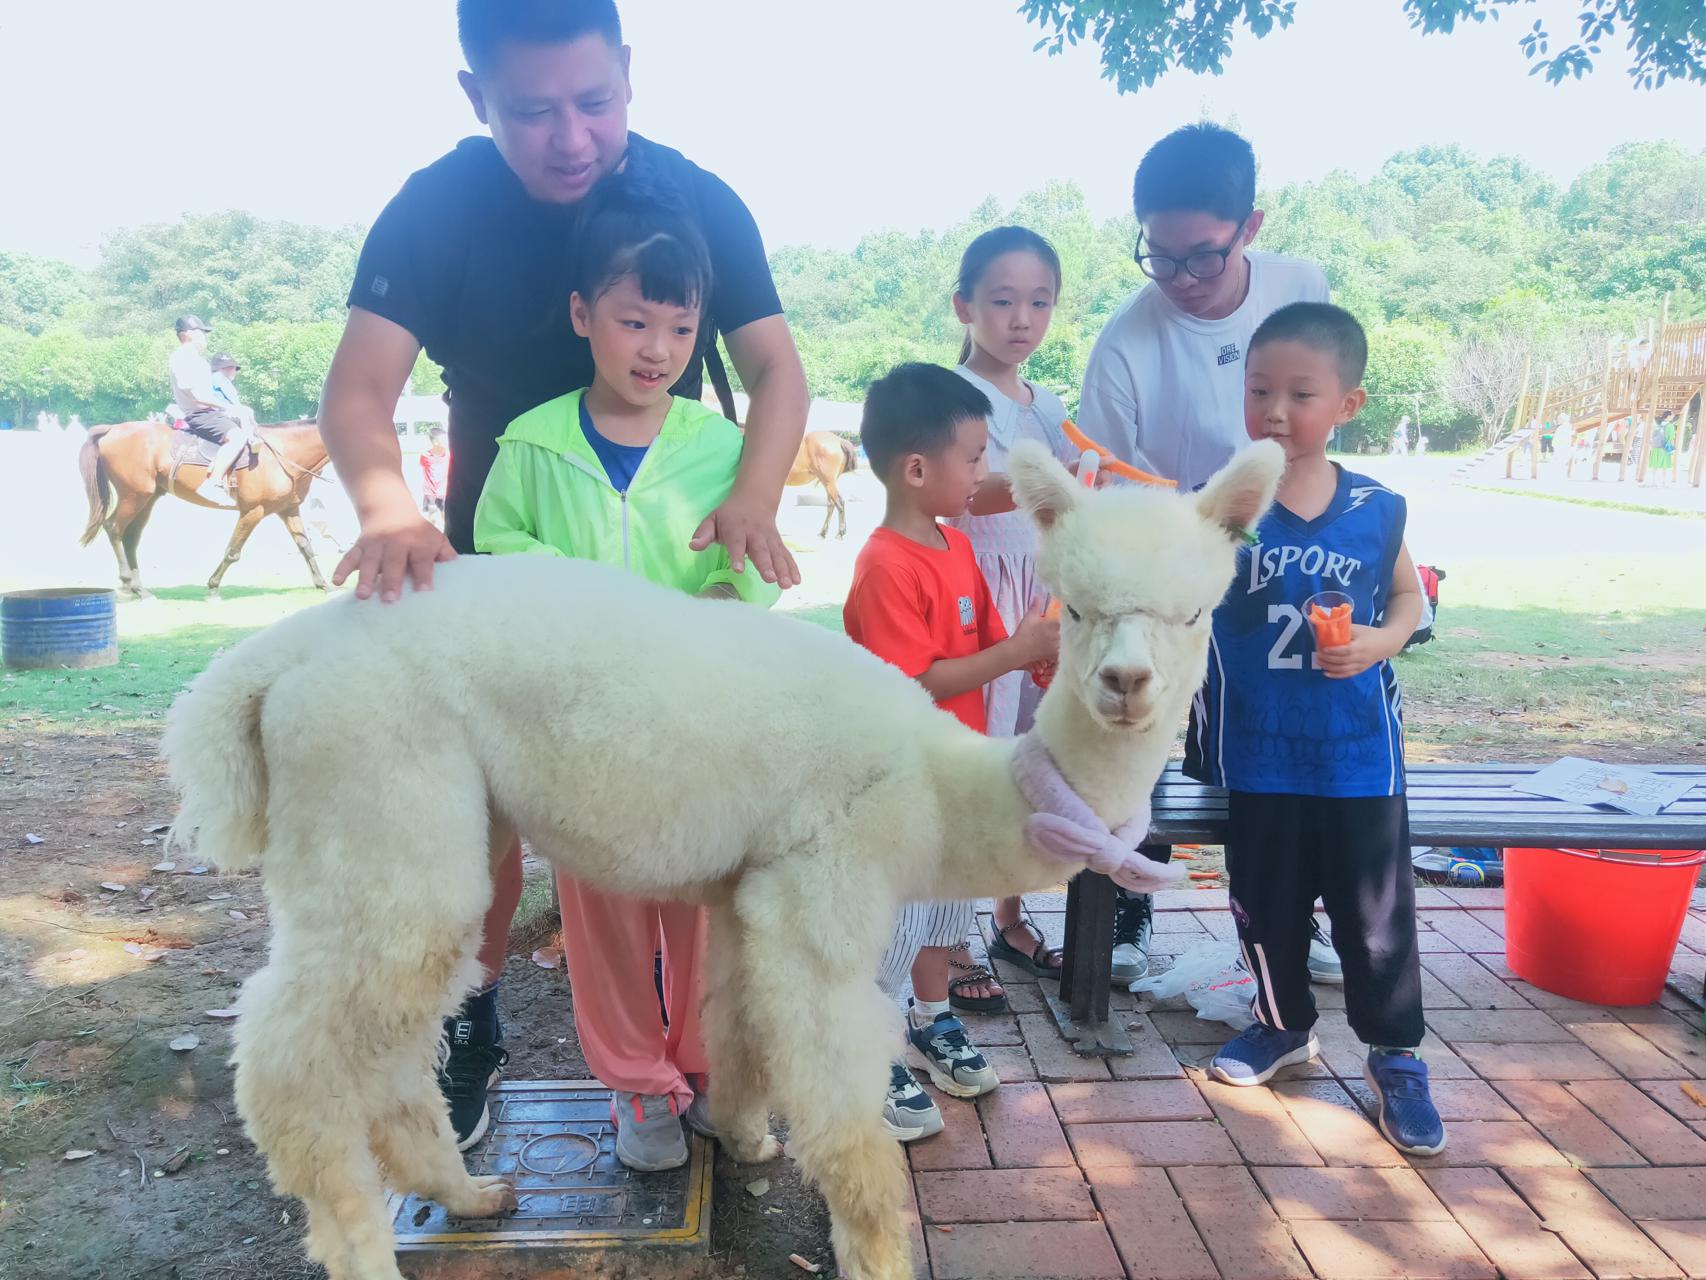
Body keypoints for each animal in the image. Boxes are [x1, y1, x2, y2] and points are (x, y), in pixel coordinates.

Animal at [77, 421, 332, 600]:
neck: (282, 453)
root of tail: (112, 429)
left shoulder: (289, 509)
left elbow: (305, 547)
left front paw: (323, 583)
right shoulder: (252, 511)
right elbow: (232, 552)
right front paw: (213, 587)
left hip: (147, 499)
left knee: (130, 537)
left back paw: (139, 588)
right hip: (134, 495)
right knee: (114, 528)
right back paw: (128, 581)